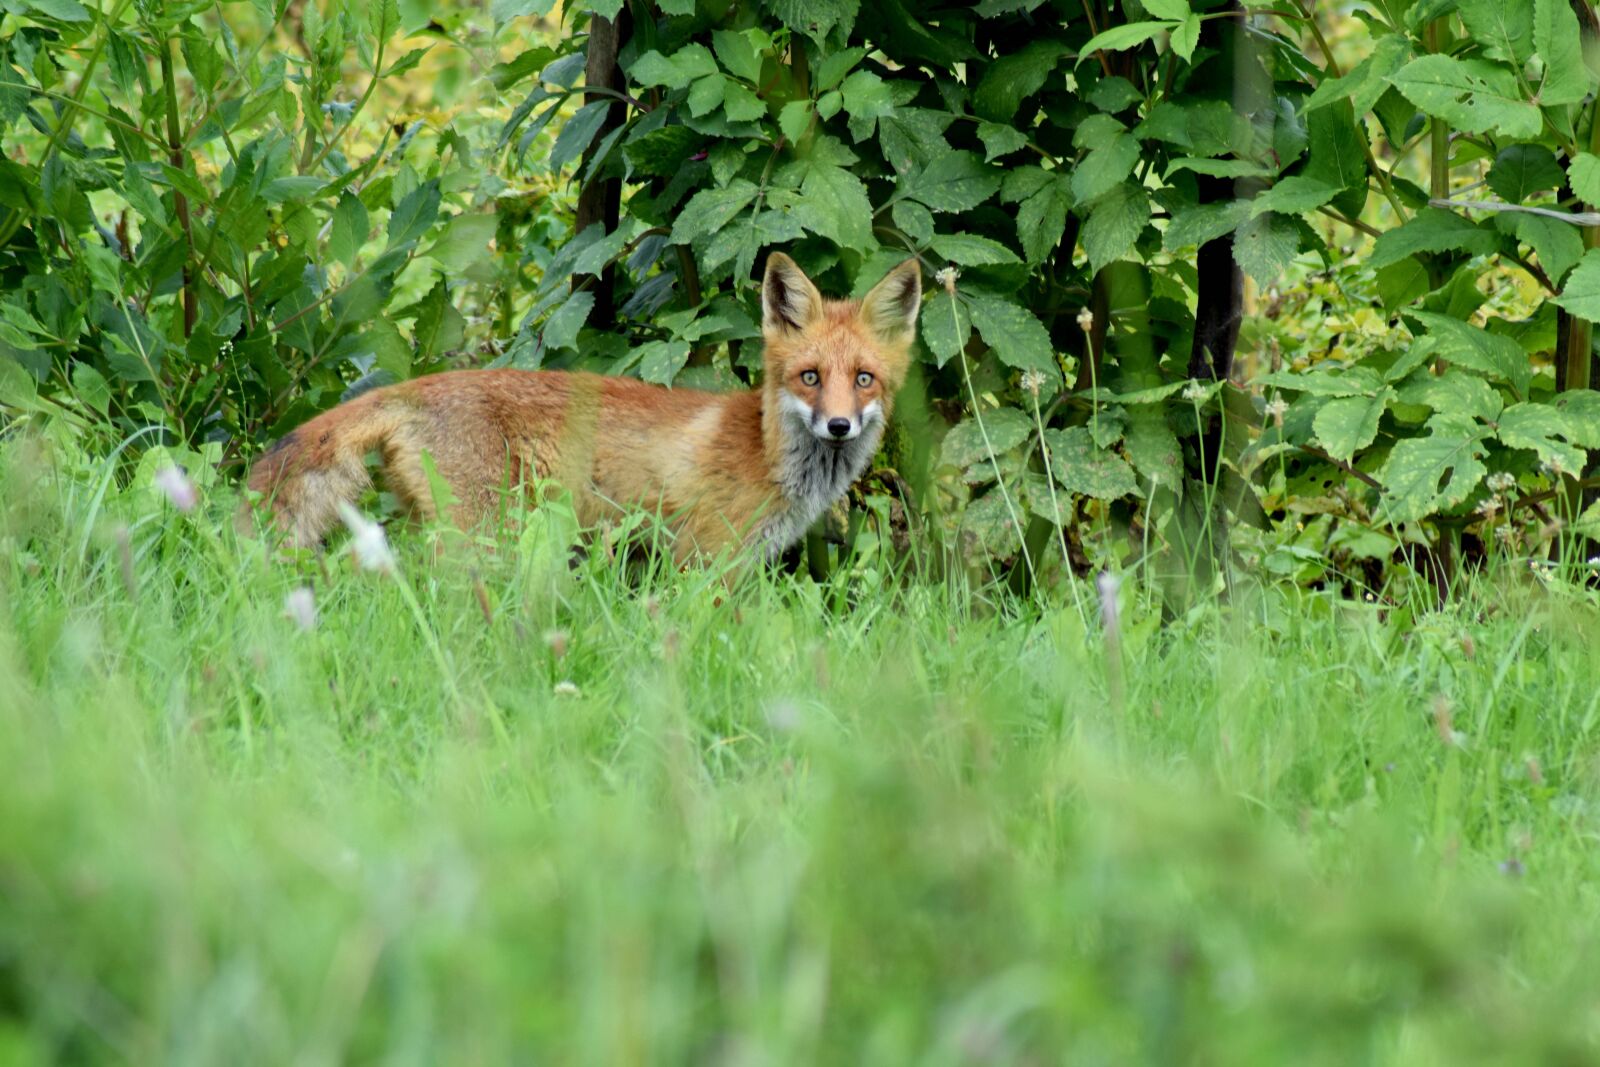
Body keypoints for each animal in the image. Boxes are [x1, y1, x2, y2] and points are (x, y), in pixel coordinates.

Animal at [240, 253, 922, 562]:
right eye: (810, 377)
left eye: (863, 379)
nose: (838, 425)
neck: (766, 455)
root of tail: (419, 386)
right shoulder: (706, 559)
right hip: (487, 536)